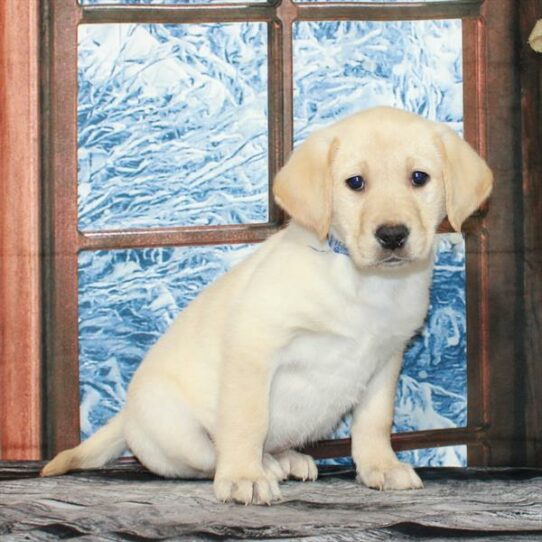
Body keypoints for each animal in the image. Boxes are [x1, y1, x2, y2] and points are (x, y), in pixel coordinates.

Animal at [41, 108, 492, 508]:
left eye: (419, 178)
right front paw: (244, 477)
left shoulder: (386, 361)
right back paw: (261, 466)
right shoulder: (254, 347)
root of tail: (127, 415)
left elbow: (374, 422)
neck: (364, 282)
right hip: (178, 432)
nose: (393, 235)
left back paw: (284, 459)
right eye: (355, 182)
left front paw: (380, 467)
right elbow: (247, 420)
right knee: (208, 456)